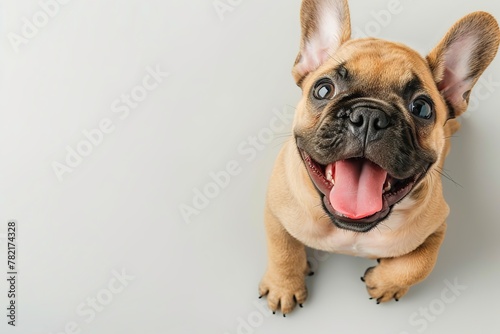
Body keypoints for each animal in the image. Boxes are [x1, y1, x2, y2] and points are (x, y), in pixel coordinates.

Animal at [258, 0, 500, 314]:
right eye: (323, 89)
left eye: (422, 108)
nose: (369, 115)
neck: (351, 229)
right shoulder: (277, 209)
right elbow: (282, 248)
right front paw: (284, 286)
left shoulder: (438, 225)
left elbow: (420, 263)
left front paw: (385, 283)